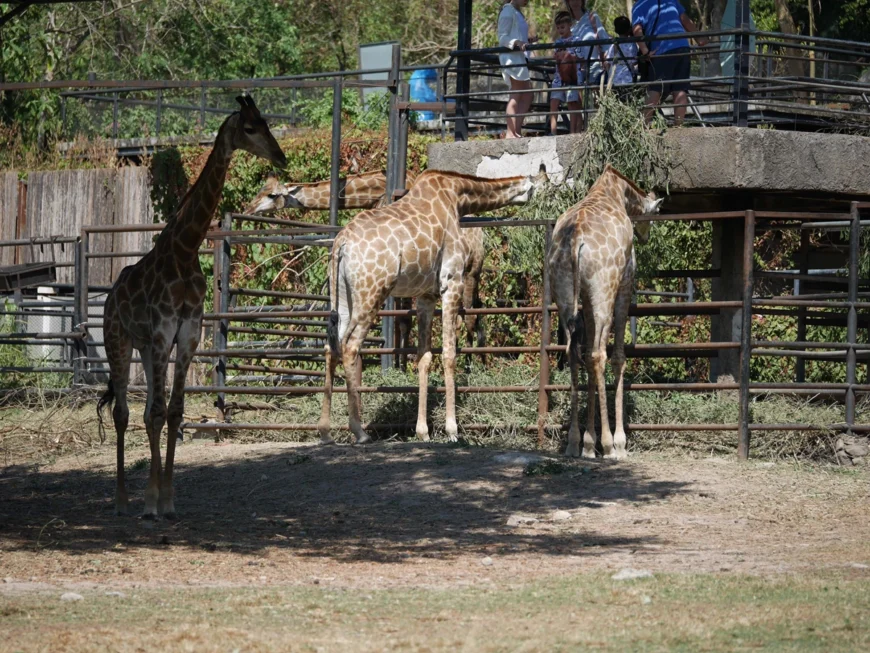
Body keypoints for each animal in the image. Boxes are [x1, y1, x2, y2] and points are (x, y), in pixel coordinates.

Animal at [98, 94, 290, 516]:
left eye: (267, 123)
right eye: (249, 128)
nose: (281, 156)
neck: (185, 250)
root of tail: (110, 296)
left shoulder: (186, 335)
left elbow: (173, 412)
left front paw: (166, 501)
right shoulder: (163, 330)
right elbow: (155, 413)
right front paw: (152, 504)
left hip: (146, 346)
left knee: (147, 412)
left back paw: (142, 496)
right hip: (118, 341)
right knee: (123, 412)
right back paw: (120, 500)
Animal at [245, 169, 490, 366]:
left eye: (271, 194)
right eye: (260, 190)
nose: (248, 209)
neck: (374, 192)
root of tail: (480, 233)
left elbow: (404, 320)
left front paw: (399, 367)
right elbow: (402, 321)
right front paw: (400, 365)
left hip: (470, 271)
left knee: (469, 316)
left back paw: (472, 366)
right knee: (473, 312)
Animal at [320, 166, 552, 446]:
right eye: (549, 185)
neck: (457, 197)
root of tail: (340, 244)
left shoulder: (426, 296)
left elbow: (424, 357)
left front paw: (423, 432)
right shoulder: (451, 282)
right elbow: (449, 353)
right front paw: (452, 430)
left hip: (342, 297)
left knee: (331, 346)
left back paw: (325, 431)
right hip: (371, 292)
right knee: (350, 347)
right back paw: (360, 431)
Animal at [548, 163, 664, 458]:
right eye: (657, 213)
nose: (645, 235)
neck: (616, 191)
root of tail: (575, 238)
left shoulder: (586, 299)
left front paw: (589, 443)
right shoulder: (625, 283)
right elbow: (619, 356)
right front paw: (618, 442)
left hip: (565, 294)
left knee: (575, 352)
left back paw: (575, 443)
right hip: (605, 290)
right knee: (598, 354)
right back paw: (610, 445)